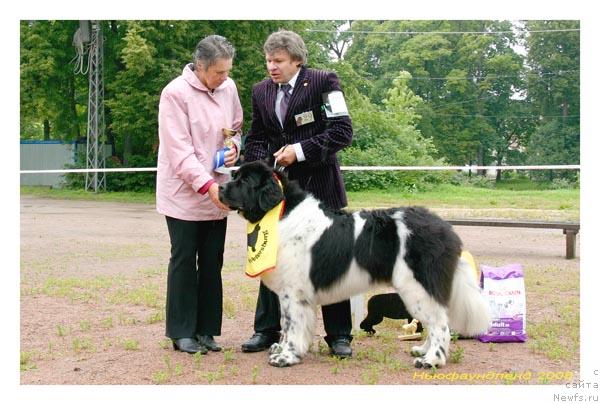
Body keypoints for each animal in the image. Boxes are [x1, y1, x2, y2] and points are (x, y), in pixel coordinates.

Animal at [218, 159, 490, 368]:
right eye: (235, 176)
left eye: (244, 181)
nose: (219, 187)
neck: (281, 214)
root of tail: (446, 229)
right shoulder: (289, 293)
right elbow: (287, 324)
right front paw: (283, 348)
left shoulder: (294, 292)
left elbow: (293, 325)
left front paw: (286, 356)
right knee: (436, 322)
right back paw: (422, 350)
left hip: (417, 287)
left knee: (440, 324)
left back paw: (431, 360)